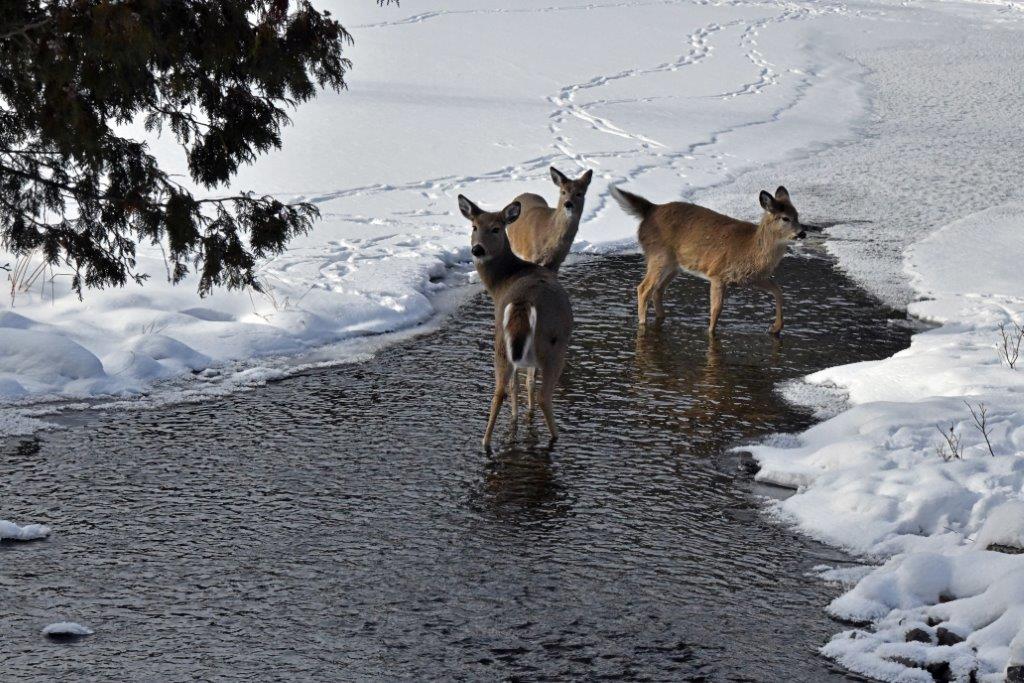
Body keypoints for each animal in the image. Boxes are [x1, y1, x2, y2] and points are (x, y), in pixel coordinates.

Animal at [458, 194, 573, 449]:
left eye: (495, 228)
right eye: (474, 227)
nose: (477, 249)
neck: (502, 281)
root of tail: (523, 302)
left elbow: (521, 383)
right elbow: (528, 382)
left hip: (501, 343)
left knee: (499, 391)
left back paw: (486, 442)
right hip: (555, 346)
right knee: (543, 396)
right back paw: (555, 437)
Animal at [609, 185, 808, 336]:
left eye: (798, 215)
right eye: (785, 218)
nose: (802, 233)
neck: (750, 249)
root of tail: (651, 209)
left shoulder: (752, 278)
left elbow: (778, 291)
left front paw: (775, 328)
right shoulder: (718, 273)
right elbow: (717, 309)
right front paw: (710, 334)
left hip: (675, 265)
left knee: (658, 290)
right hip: (659, 256)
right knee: (643, 288)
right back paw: (642, 325)